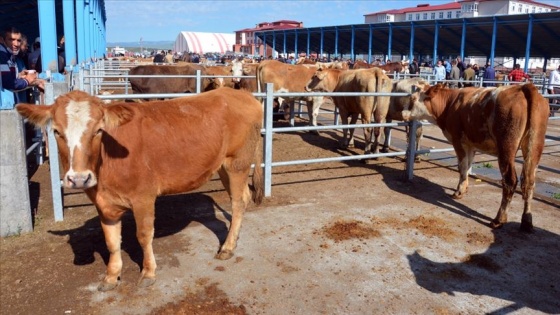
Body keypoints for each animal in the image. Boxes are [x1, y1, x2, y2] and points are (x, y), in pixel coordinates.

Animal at [15, 87, 264, 292]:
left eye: (98, 130)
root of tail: (241, 94)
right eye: (57, 132)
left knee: (238, 202)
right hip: (222, 165)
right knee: (243, 196)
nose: (78, 179)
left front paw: (148, 272)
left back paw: (228, 247)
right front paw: (111, 276)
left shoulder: (143, 196)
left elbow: (144, 235)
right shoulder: (103, 203)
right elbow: (111, 240)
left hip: (237, 162)